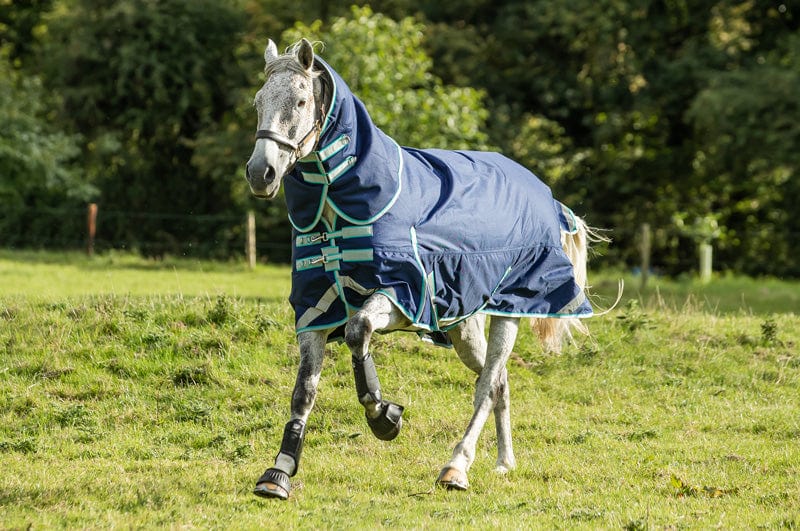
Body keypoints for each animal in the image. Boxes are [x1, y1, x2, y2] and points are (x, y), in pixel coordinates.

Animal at [245, 38, 601, 500]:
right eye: (258, 102)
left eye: (301, 101)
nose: (261, 173)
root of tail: (544, 192)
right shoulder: (315, 309)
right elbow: (303, 390)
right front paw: (279, 471)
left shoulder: (402, 295)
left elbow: (358, 332)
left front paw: (384, 417)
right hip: (463, 325)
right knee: (499, 381)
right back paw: (504, 462)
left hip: (508, 311)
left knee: (487, 386)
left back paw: (456, 467)